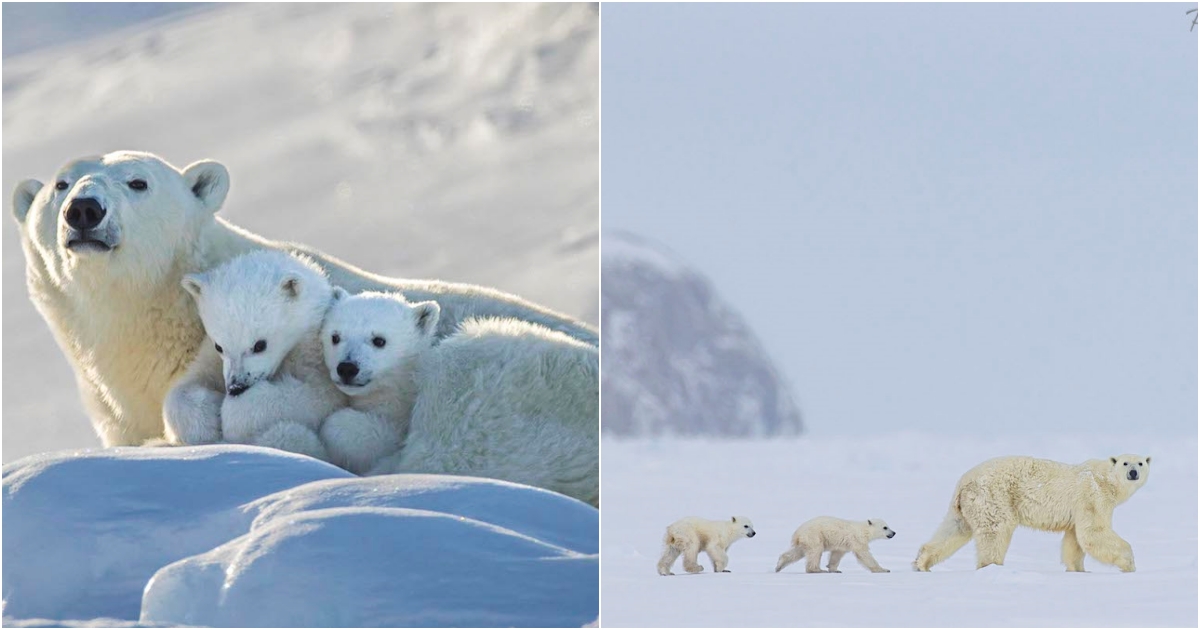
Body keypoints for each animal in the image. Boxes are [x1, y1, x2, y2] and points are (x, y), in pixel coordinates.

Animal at [166, 250, 350, 460]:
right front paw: (208, 419)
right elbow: (187, 385)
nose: (236, 387)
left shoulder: (315, 356)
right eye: (219, 346)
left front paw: (231, 416)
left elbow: (317, 395)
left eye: (259, 345)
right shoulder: (210, 358)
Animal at [916, 451, 1152, 568]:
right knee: (996, 532)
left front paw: (1077, 570)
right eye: (1125, 463)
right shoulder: (1092, 497)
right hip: (993, 497)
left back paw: (922, 563)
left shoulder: (1080, 508)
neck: (1105, 479)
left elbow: (1075, 540)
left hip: (966, 505)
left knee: (955, 529)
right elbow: (1093, 533)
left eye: (1141, 463)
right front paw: (1129, 564)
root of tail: (964, 482)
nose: (1133, 473)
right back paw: (992, 566)